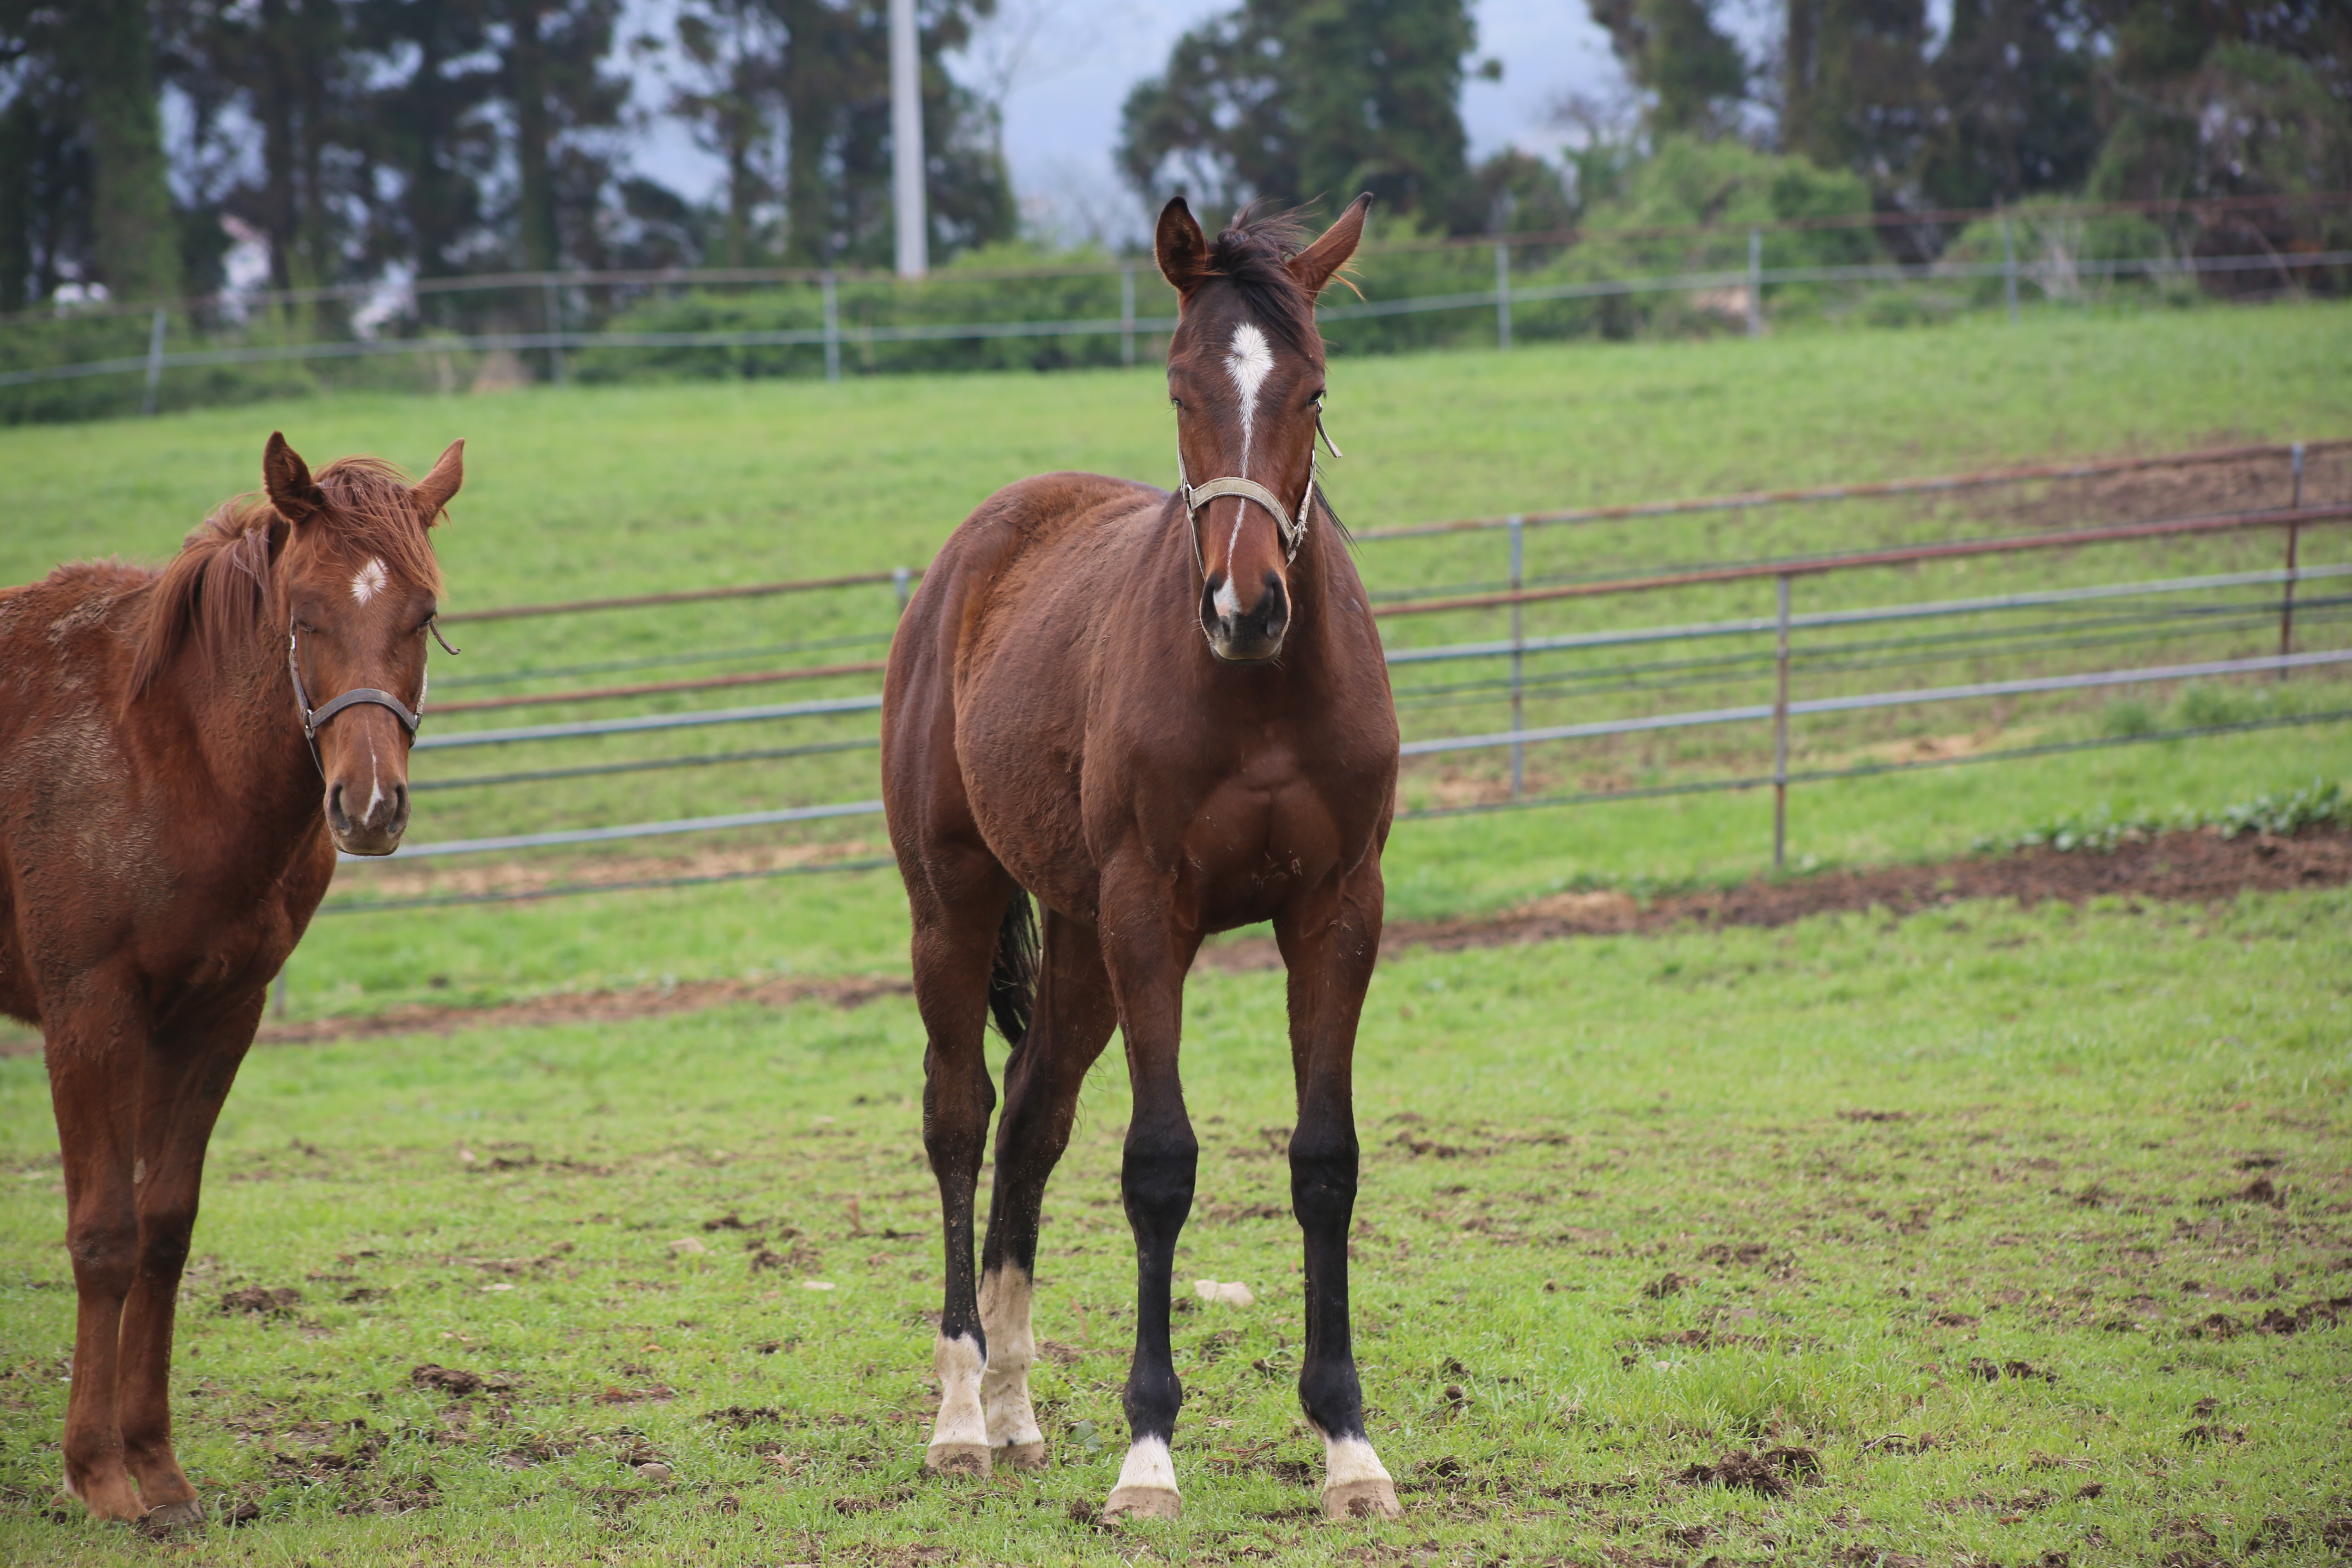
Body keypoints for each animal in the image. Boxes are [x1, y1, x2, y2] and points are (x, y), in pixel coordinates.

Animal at [1, 430, 459, 1523]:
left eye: (423, 614)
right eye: (304, 615)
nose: (369, 806)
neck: (162, 755)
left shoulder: (217, 1017)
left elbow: (164, 1230)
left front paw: (157, 1466)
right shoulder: (89, 1017)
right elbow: (104, 1233)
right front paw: (97, 1473)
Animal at [880, 196, 1392, 1523]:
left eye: (1313, 389)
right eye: (1179, 388)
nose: (1244, 607)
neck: (1259, 693)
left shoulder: (1337, 911)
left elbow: (1324, 1159)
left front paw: (1349, 1444)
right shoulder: (1148, 912)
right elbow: (1159, 1164)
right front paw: (1148, 1452)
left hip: (1077, 939)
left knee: (1032, 1120)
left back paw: (1015, 1409)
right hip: (957, 903)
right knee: (960, 1118)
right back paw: (961, 1415)